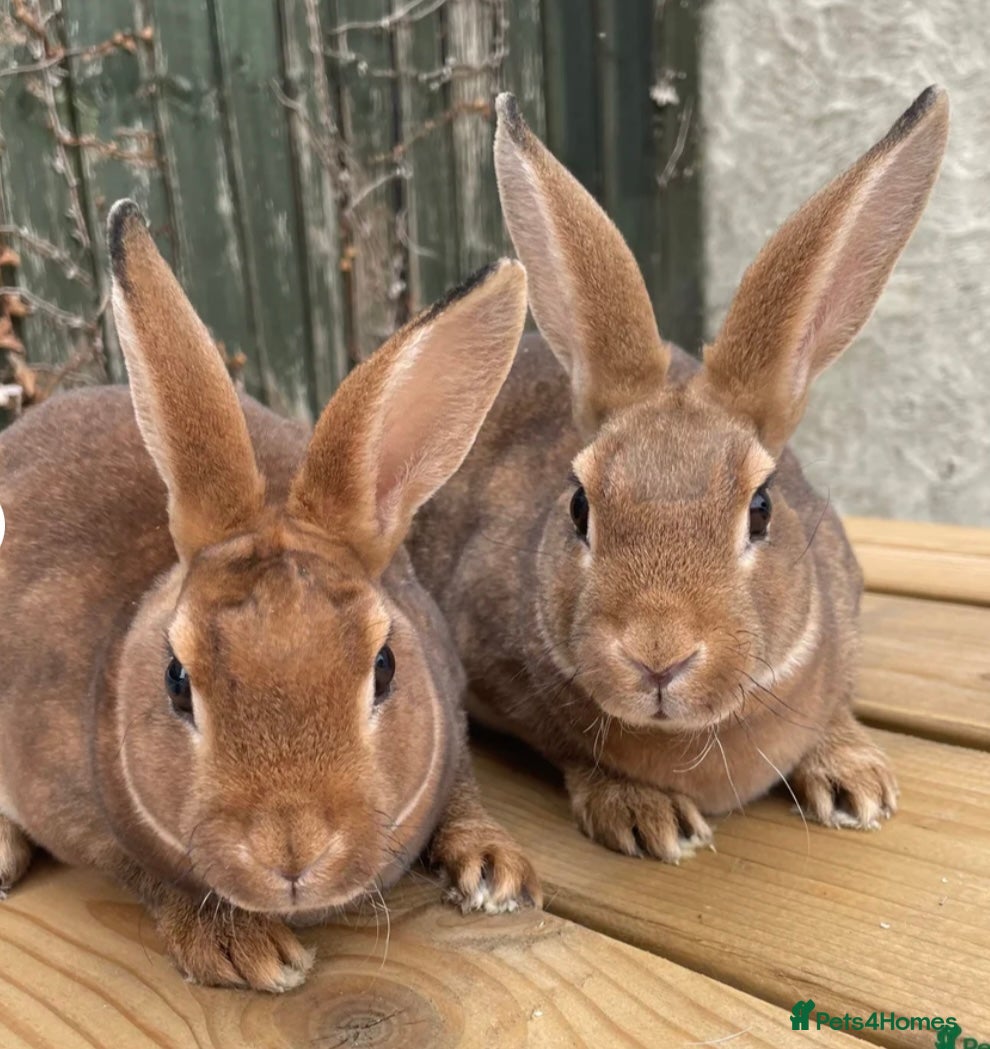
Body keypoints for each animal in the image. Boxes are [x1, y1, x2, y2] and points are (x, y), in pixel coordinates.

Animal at [0, 200, 539, 992]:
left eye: (385, 668)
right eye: (175, 680)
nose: (292, 852)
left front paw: (495, 868)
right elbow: (141, 871)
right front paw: (241, 947)